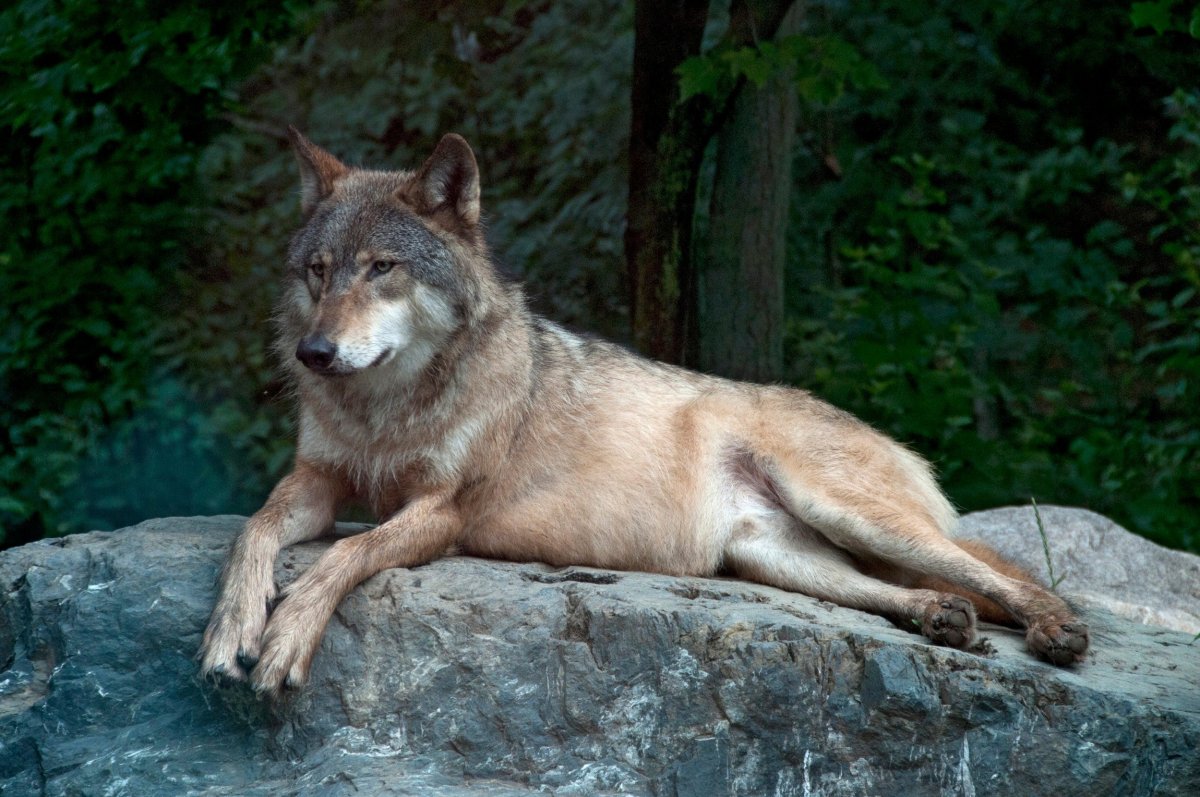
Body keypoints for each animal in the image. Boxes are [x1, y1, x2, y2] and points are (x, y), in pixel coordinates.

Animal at [198, 129, 1090, 696]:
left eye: (382, 268)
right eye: (318, 271)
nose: (314, 352)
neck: (388, 409)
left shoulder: (440, 511)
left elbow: (344, 557)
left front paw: (284, 637)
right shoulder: (318, 480)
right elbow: (254, 530)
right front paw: (233, 627)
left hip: (853, 513)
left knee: (1003, 573)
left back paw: (1055, 631)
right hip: (772, 556)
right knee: (891, 592)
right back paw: (939, 618)